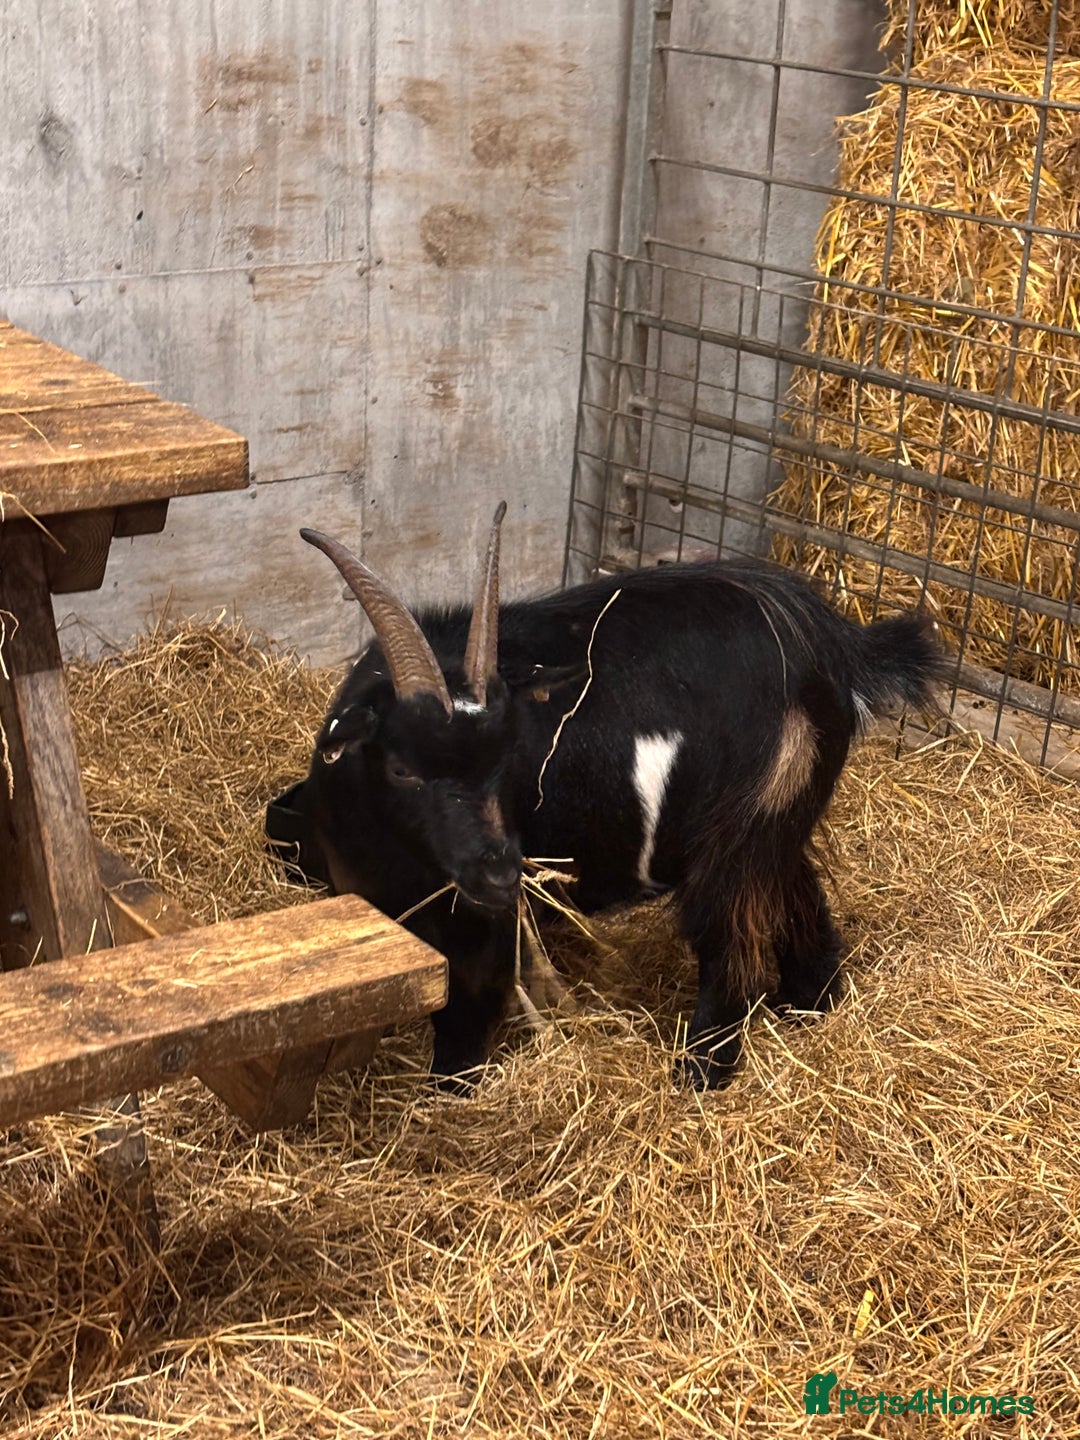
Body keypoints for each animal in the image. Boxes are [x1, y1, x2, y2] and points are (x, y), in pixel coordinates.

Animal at [274, 504, 944, 1088]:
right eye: (402, 769)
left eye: (507, 758)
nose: (500, 872)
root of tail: (830, 645)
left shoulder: (479, 925)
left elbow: (467, 1012)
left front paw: (451, 1094)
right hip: (780, 819)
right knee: (795, 891)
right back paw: (808, 1005)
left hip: (737, 829)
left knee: (729, 943)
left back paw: (700, 1072)